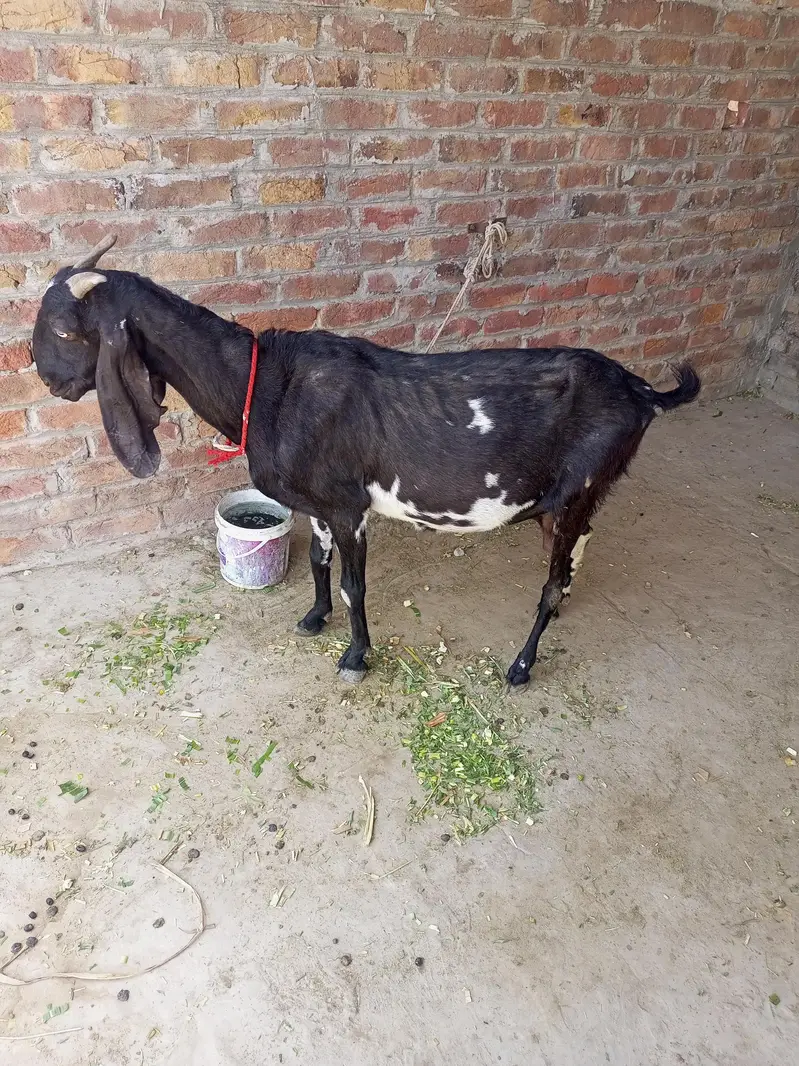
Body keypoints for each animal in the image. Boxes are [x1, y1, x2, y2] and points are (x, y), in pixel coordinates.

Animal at [33, 236, 701, 687]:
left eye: (66, 332)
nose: (46, 378)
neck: (266, 385)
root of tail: (642, 391)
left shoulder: (348, 504)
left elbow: (355, 584)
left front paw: (355, 656)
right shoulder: (317, 503)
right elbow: (320, 564)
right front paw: (314, 617)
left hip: (576, 489)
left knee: (551, 580)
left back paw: (521, 663)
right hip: (579, 496)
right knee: (573, 557)